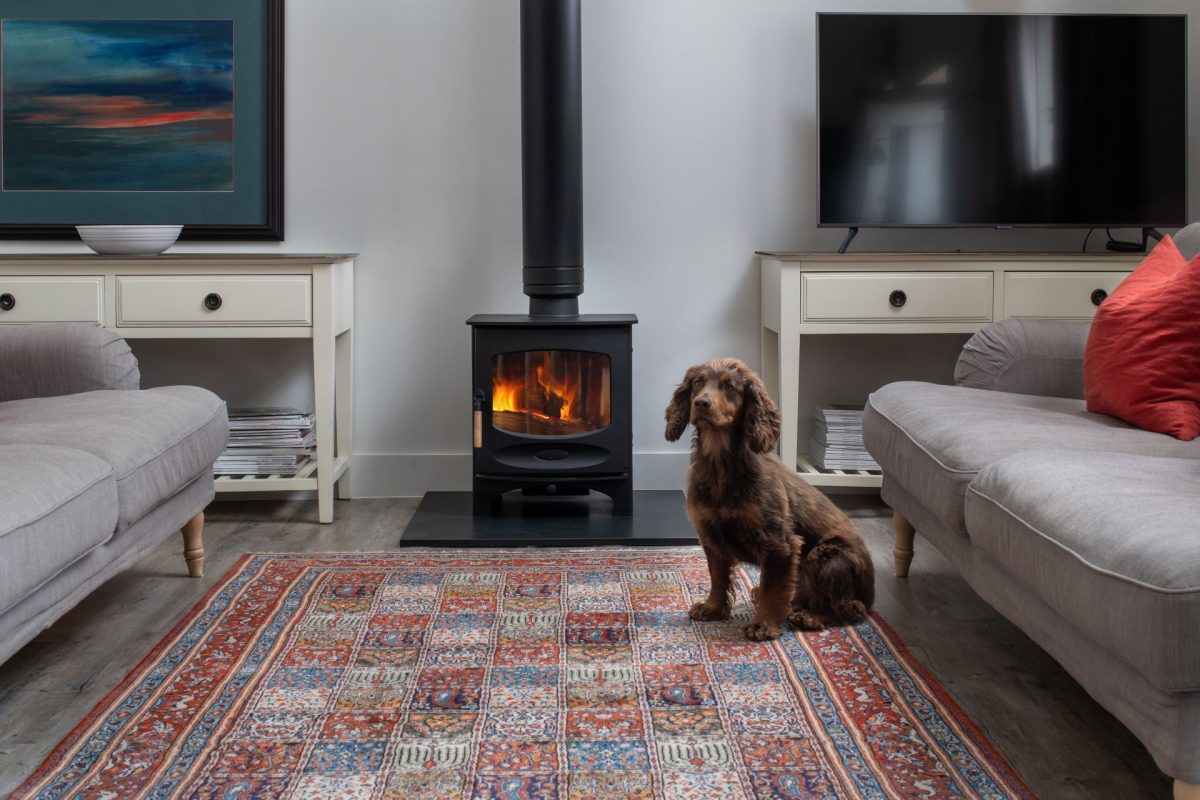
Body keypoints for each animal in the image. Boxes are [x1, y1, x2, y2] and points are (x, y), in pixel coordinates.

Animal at [667, 359, 873, 642]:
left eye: (729, 386)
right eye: (698, 383)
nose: (701, 403)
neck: (721, 464)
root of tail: (872, 592)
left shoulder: (779, 544)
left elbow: (772, 588)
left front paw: (763, 625)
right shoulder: (711, 535)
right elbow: (717, 577)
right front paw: (713, 608)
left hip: (825, 556)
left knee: (849, 606)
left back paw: (811, 616)